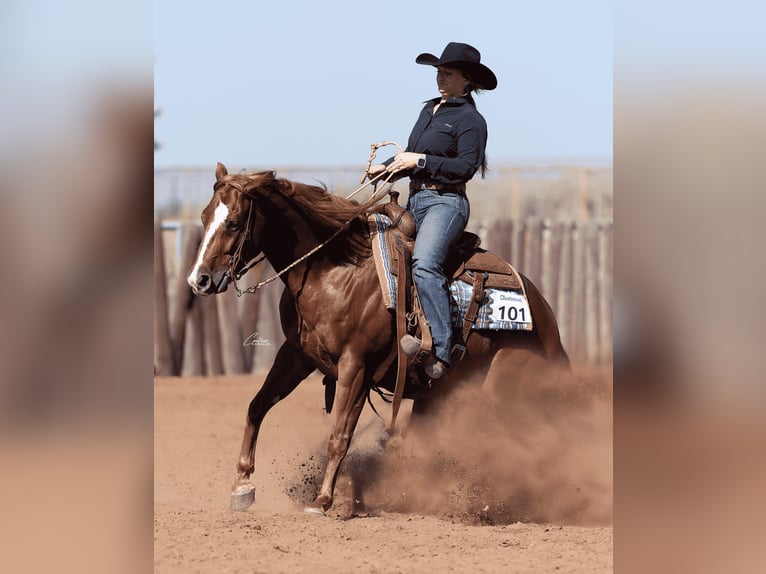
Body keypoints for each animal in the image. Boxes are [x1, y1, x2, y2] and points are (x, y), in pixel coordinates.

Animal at [187, 162, 570, 515]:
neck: (333, 270)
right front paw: (242, 485)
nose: (198, 280)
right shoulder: (295, 355)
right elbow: (257, 406)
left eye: (234, 222)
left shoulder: (356, 365)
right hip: (438, 395)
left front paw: (323, 500)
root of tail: (546, 318)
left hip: (506, 387)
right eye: (205, 217)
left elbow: (339, 435)